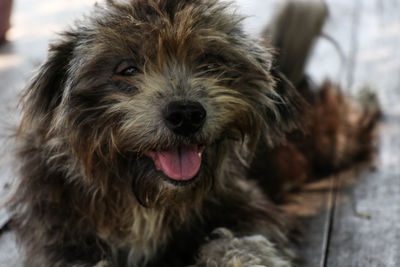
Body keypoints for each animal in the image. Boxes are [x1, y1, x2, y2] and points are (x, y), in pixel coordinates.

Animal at [8, 0, 378, 267]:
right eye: (126, 69)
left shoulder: (251, 209)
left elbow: (241, 242)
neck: (142, 196)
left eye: (210, 63)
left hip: (332, 138)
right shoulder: (61, 238)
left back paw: (368, 97)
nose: (186, 115)